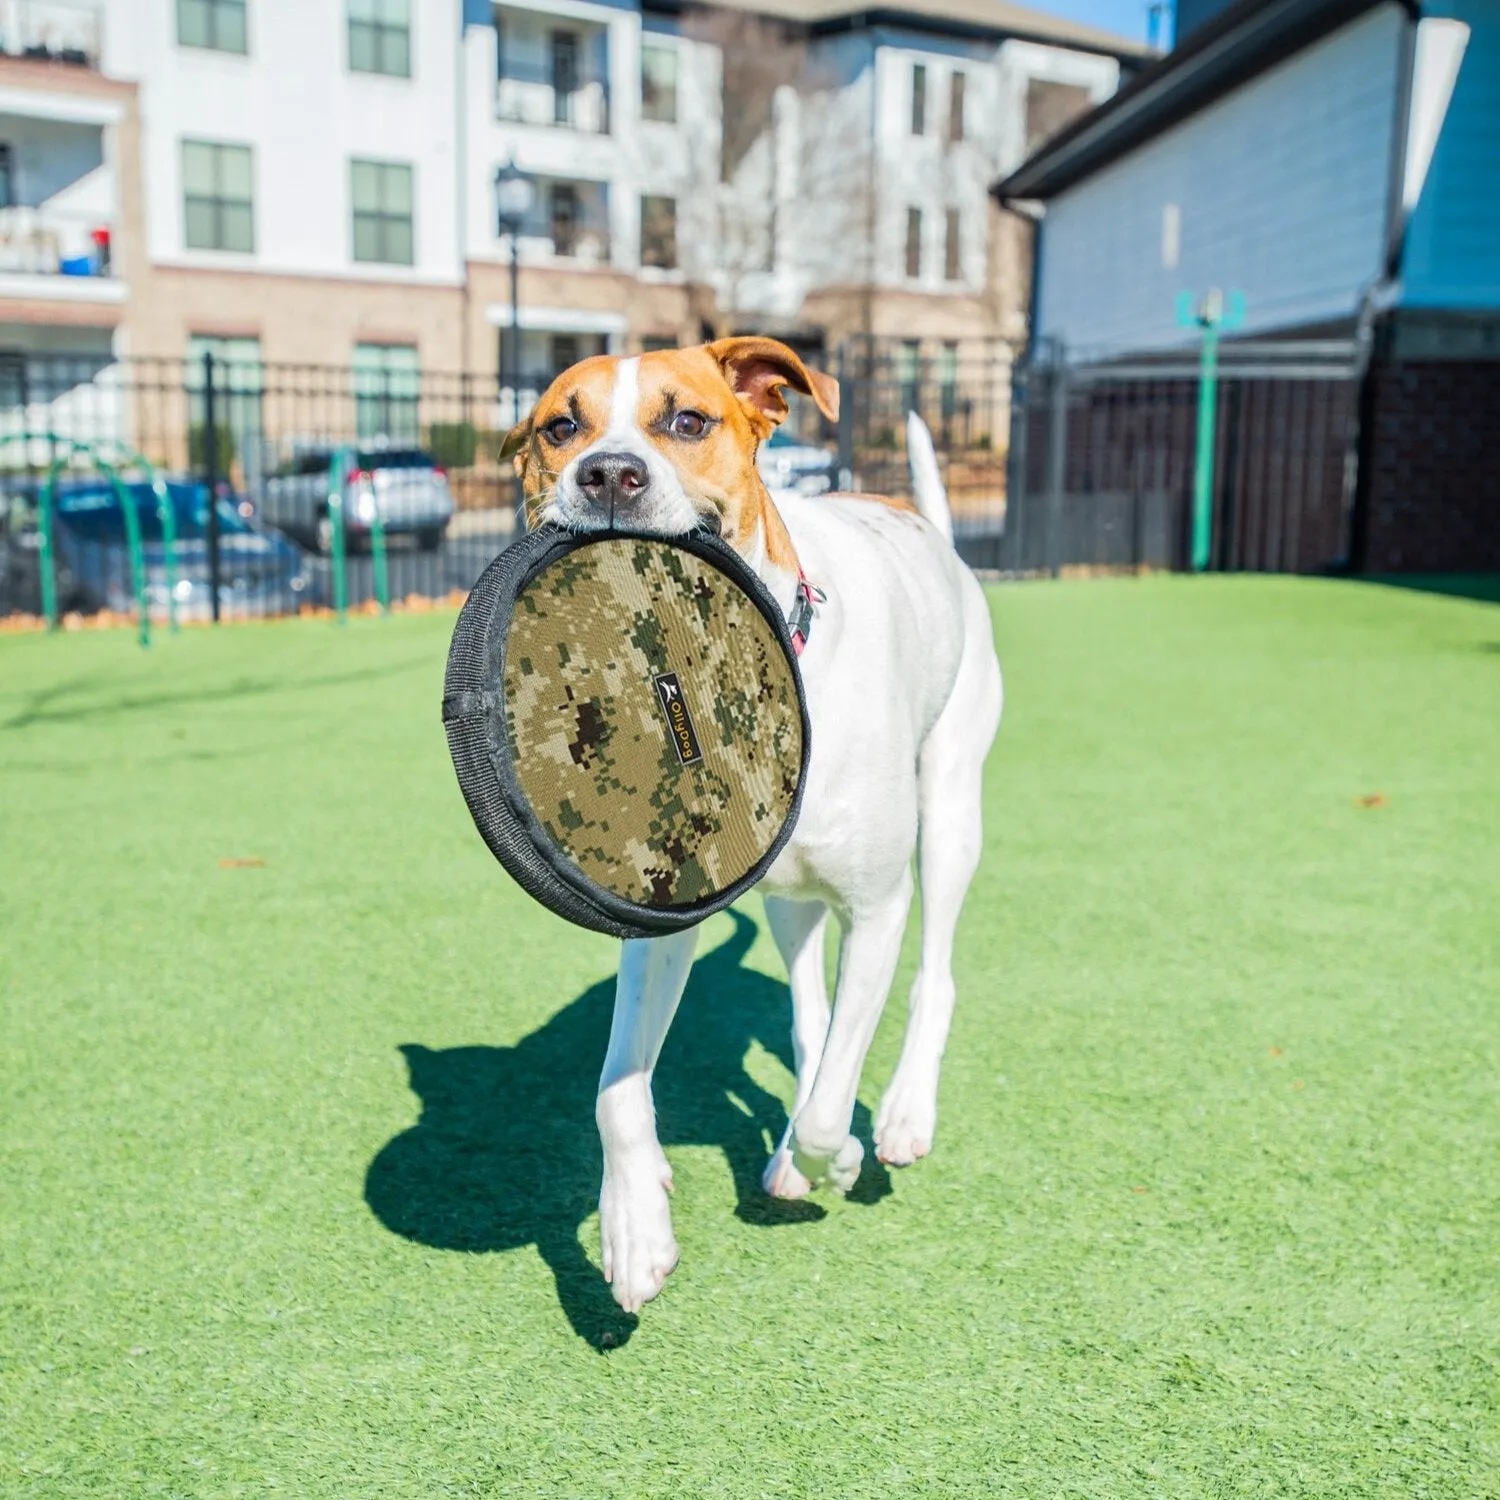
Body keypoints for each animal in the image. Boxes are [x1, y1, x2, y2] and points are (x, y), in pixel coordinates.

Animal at [504, 340, 1008, 1314]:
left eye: (687, 420)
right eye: (560, 426)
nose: (608, 474)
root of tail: (924, 524)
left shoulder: (879, 908)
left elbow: (830, 1102)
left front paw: (836, 1155)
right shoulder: (661, 920)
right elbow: (616, 1089)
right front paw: (634, 1225)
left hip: (952, 811)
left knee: (932, 979)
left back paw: (898, 1117)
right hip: (788, 899)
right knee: (812, 1016)